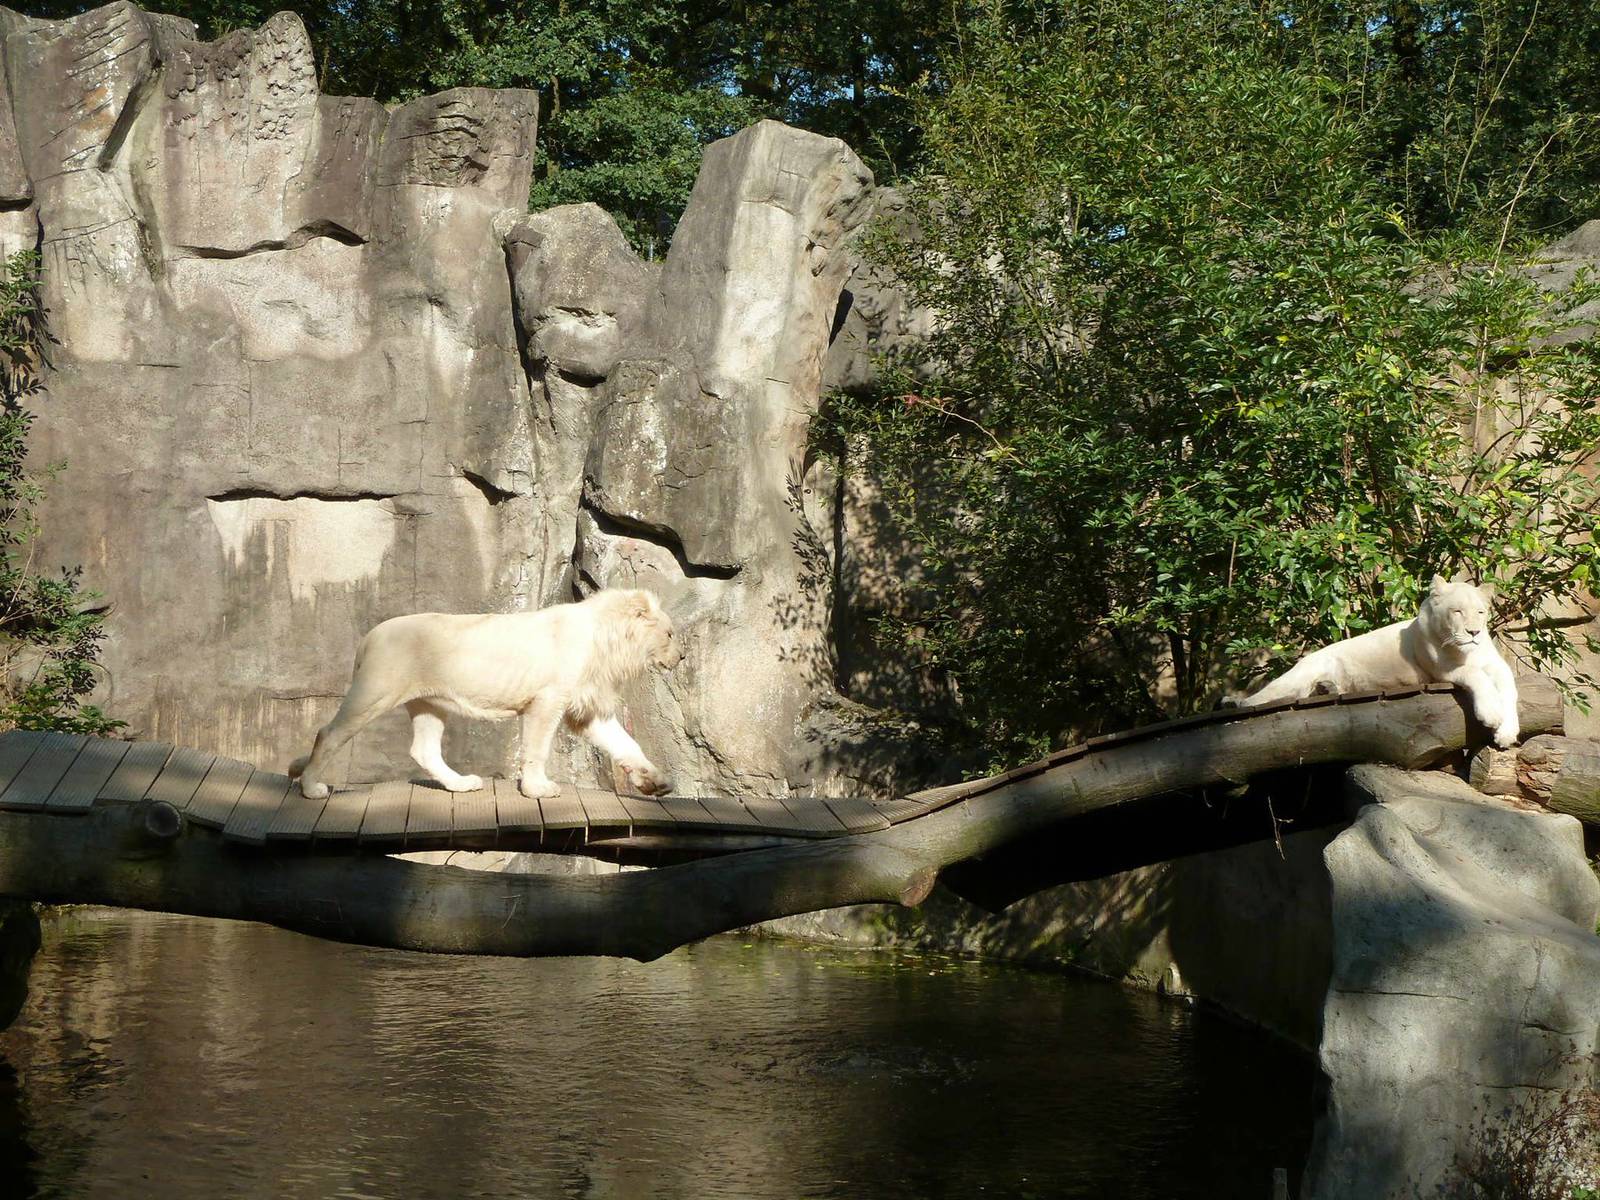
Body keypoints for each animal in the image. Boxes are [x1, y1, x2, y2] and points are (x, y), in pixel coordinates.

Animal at [288, 588, 682, 801]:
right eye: (670, 634)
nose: (681, 657)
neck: (608, 643)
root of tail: (369, 635)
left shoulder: (586, 710)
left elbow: (626, 744)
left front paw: (657, 782)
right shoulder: (546, 700)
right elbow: (537, 749)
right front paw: (538, 789)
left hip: (429, 703)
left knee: (424, 749)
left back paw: (461, 784)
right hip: (375, 692)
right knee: (329, 733)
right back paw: (311, 787)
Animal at [1245, 575, 1520, 748]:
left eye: (1480, 612)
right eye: (1458, 612)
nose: (1474, 632)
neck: (1467, 652)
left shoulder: (1496, 665)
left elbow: (1509, 689)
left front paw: (1507, 733)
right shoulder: (1444, 671)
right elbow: (1477, 676)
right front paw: (1491, 714)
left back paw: (1326, 688)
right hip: (1299, 676)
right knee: (1269, 694)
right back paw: (1239, 701)